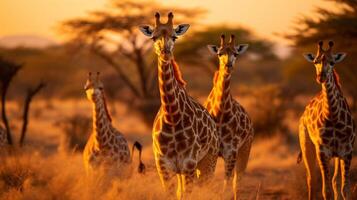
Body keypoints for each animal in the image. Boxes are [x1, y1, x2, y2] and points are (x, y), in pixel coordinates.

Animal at [138, 12, 217, 198]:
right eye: (153, 37)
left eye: (174, 36)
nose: (165, 53)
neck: (172, 117)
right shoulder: (163, 166)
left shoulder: (189, 163)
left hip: (208, 161)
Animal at [206, 34, 253, 198]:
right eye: (220, 53)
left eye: (236, 53)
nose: (229, 66)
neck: (220, 115)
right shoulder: (212, 152)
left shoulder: (231, 152)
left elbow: (226, 184)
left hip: (245, 149)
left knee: (237, 181)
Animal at [298, 41, 354, 200]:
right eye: (315, 61)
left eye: (332, 62)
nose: (320, 77)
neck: (333, 116)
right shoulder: (323, 152)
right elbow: (326, 191)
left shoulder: (347, 152)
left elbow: (344, 189)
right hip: (307, 145)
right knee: (311, 179)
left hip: (337, 156)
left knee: (335, 181)